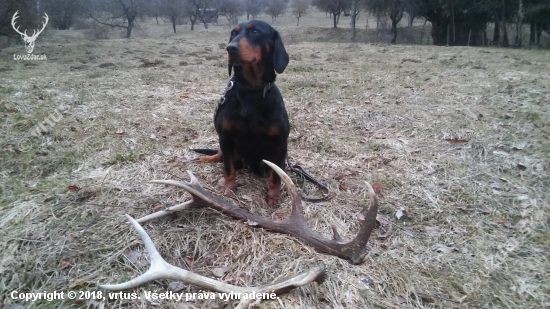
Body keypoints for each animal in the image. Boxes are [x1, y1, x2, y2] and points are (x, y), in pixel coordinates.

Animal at [198, 20, 294, 206]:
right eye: (233, 33)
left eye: (255, 31)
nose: (230, 48)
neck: (251, 91)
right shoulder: (225, 136)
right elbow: (228, 168)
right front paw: (229, 189)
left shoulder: (280, 143)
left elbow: (276, 175)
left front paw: (273, 196)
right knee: (221, 156)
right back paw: (206, 158)